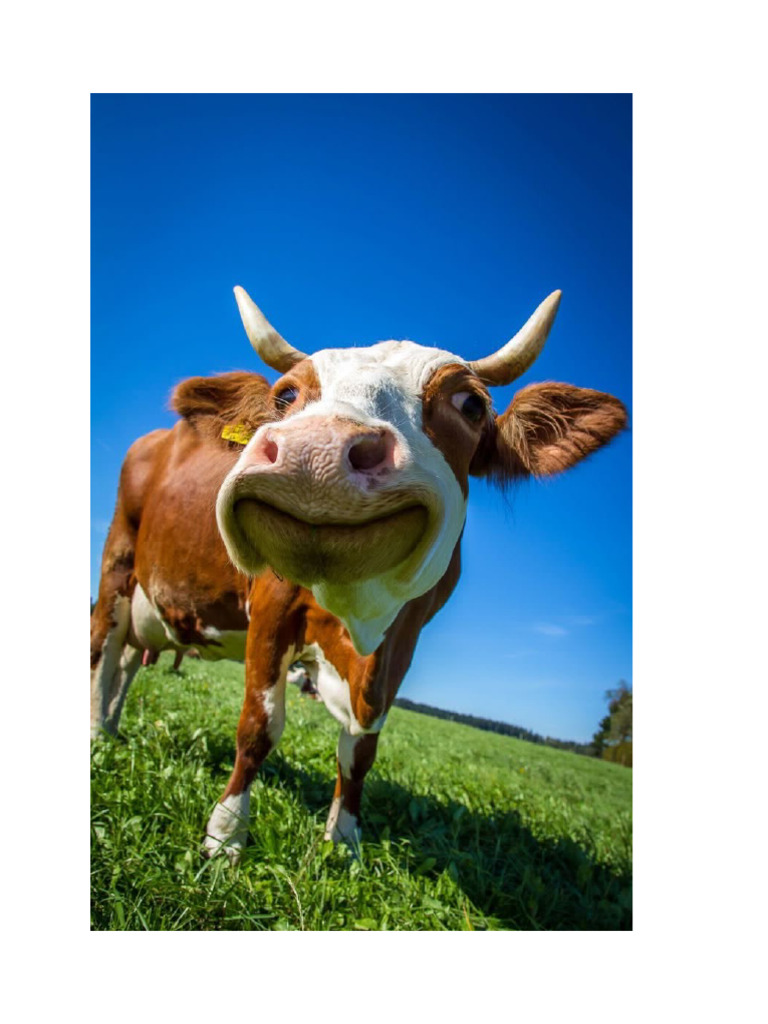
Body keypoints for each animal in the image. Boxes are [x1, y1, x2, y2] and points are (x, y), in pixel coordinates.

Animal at [90, 285, 627, 861]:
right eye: (285, 395)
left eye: (471, 405)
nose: (315, 452)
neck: (358, 615)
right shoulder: (272, 608)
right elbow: (259, 726)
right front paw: (226, 835)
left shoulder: (404, 639)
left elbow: (361, 748)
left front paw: (344, 839)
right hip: (117, 563)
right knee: (105, 650)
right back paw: (98, 735)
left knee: (129, 660)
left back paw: (113, 726)